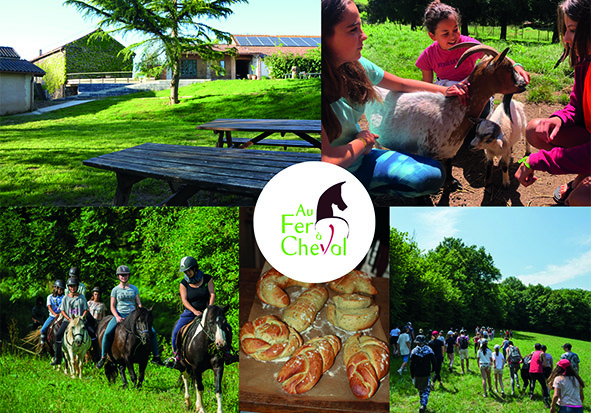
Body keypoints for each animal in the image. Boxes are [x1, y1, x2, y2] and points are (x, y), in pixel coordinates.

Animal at [368, 43, 528, 188]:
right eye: (508, 68)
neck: (449, 110)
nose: (523, 84)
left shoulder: (450, 150)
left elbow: (449, 166)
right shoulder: (425, 152)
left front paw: (452, 182)